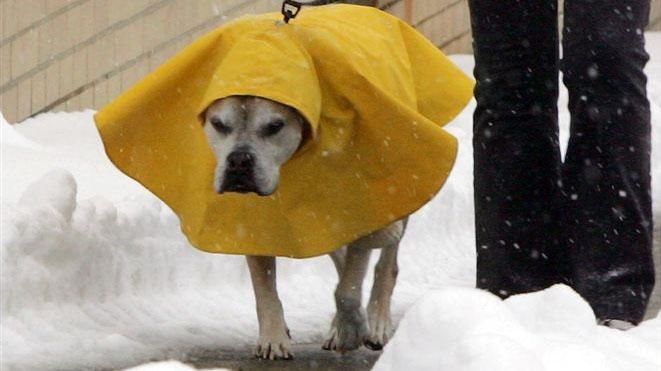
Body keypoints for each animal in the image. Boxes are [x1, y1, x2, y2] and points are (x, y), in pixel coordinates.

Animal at [204, 96, 404, 360]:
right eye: (218, 124)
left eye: (275, 126)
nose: (239, 161)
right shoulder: (253, 221)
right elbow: (263, 286)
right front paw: (273, 338)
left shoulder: (358, 202)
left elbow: (348, 287)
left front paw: (351, 329)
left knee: (387, 262)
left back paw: (376, 322)